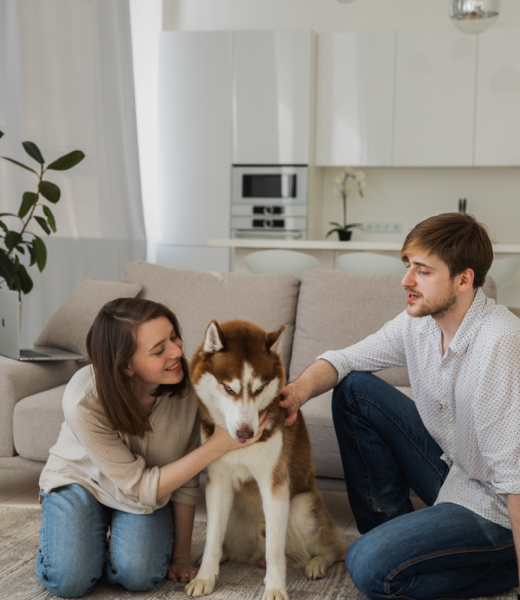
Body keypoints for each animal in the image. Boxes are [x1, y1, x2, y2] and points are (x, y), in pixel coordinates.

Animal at [185, 318, 344, 600]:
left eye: (259, 388)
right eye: (229, 388)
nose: (246, 433)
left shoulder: (275, 483)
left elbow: (275, 549)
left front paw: (276, 587)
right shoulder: (217, 482)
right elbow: (212, 539)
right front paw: (204, 577)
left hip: (302, 506)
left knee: (332, 548)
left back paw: (317, 563)